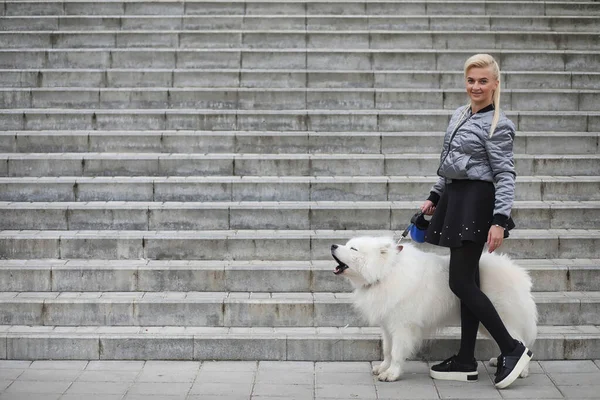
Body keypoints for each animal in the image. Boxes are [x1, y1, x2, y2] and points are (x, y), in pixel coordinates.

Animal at [330, 236, 536, 382]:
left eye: (353, 249)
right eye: (347, 244)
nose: (332, 246)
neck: (385, 273)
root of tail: (517, 272)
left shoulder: (402, 326)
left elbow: (396, 352)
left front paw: (391, 374)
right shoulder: (387, 324)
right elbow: (388, 350)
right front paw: (382, 367)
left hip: (498, 315)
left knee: (520, 340)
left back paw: (520, 370)